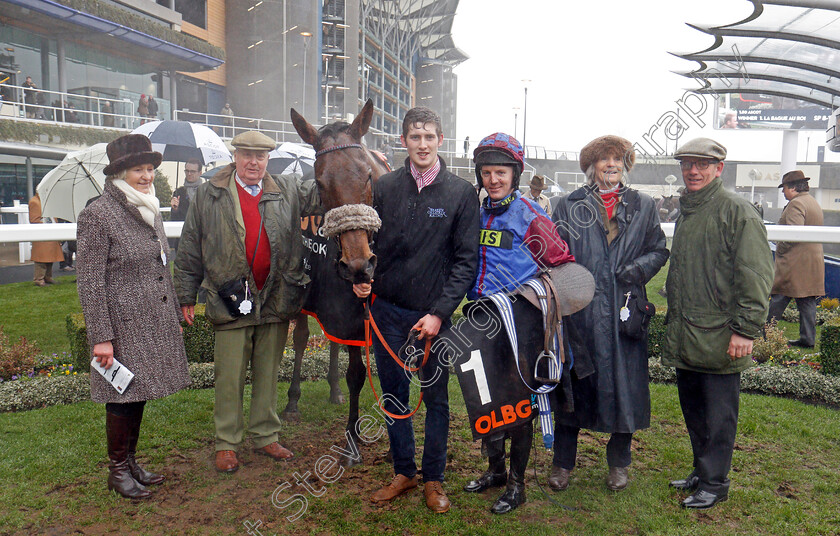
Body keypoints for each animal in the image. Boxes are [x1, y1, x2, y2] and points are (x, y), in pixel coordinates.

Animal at [282, 99, 388, 464]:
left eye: (368, 173)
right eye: (320, 182)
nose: (358, 265)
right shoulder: (343, 306)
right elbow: (355, 373)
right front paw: (352, 440)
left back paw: (333, 389)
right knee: (301, 338)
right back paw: (293, 401)